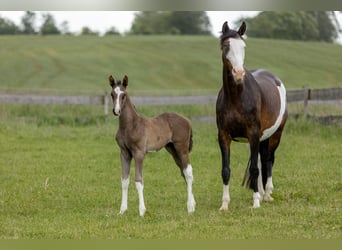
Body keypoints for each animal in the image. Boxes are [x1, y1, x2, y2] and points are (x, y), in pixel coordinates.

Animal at [216, 21, 288, 209]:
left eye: (243, 46)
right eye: (226, 46)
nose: (238, 73)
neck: (237, 97)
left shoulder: (254, 134)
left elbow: (255, 169)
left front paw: (255, 203)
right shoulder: (224, 136)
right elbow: (226, 170)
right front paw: (224, 205)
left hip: (275, 135)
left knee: (268, 159)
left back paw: (267, 194)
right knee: (262, 160)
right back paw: (262, 193)